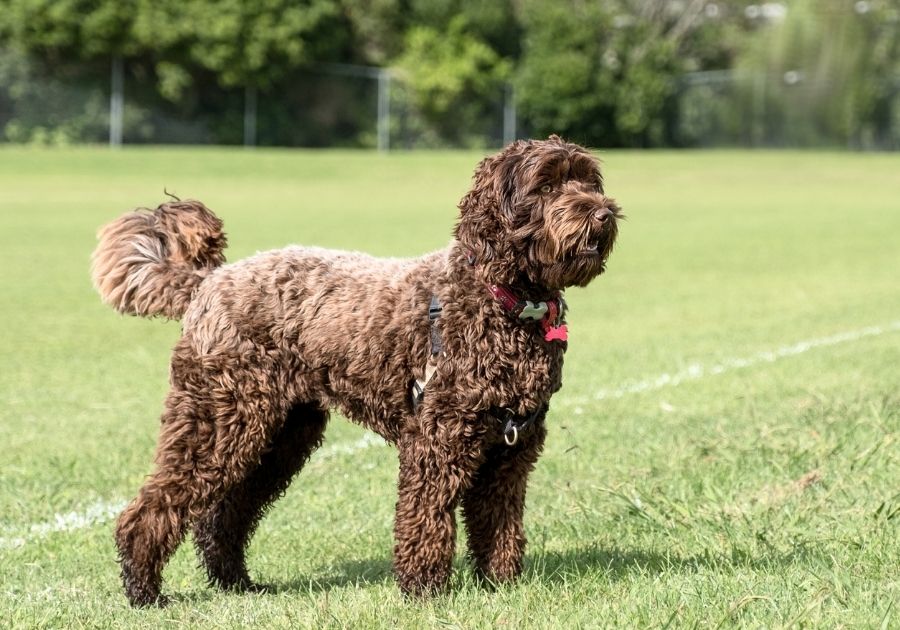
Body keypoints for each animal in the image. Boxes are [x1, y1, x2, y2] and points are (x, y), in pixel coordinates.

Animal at [91, 137, 620, 608]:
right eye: (545, 185)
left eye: (588, 180)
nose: (603, 213)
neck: (502, 301)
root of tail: (208, 281)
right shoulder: (437, 440)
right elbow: (426, 516)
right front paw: (424, 590)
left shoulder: (512, 449)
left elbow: (499, 522)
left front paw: (499, 584)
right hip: (217, 421)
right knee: (154, 508)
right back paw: (144, 591)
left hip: (280, 436)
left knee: (224, 515)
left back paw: (236, 583)